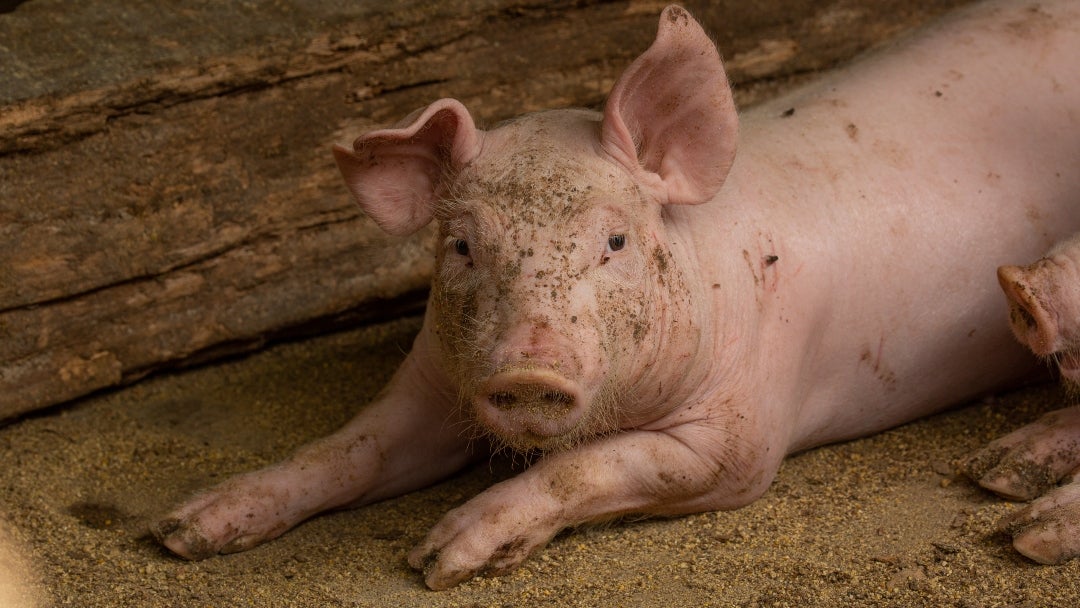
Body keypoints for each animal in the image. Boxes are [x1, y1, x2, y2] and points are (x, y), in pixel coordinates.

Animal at [152, 0, 1080, 591]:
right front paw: (181, 530)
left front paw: (440, 557)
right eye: (462, 246)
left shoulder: (743, 437)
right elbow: (349, 449)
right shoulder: (433, 382)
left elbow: (583, 465)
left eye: (615, 243)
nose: (530, 370)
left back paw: (1009, 501)